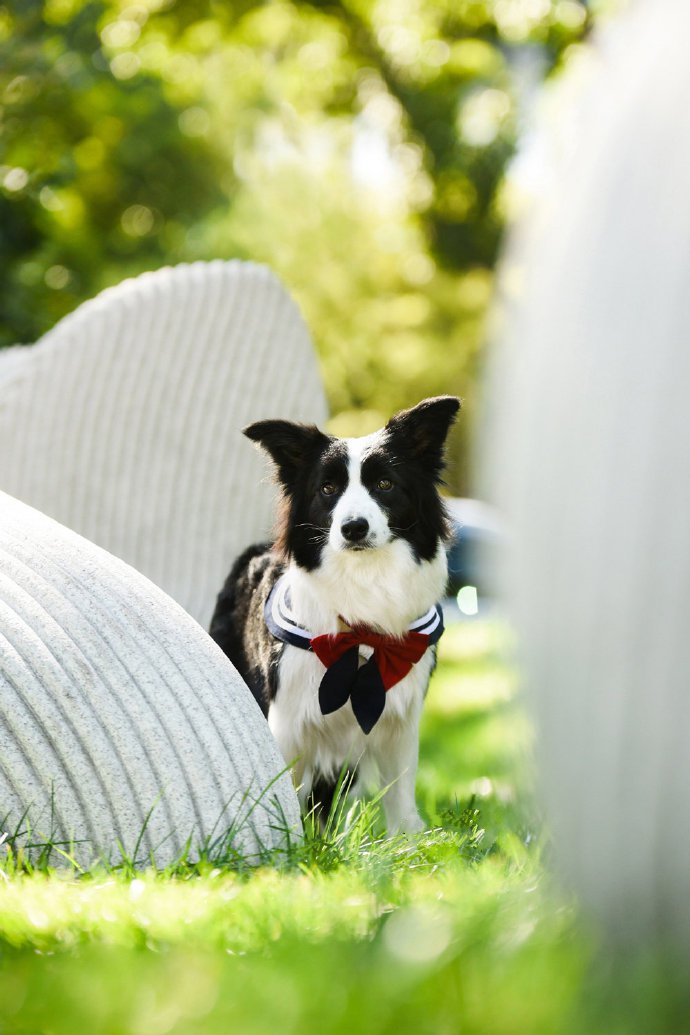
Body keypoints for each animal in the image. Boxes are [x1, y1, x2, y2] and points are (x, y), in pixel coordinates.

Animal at [207, 395, 461, 832]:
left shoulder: (400, 722)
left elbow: (400, 802)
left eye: (385, 484)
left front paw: (408, 844)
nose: (353, 528)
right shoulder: (288, 721)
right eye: (328, 488)